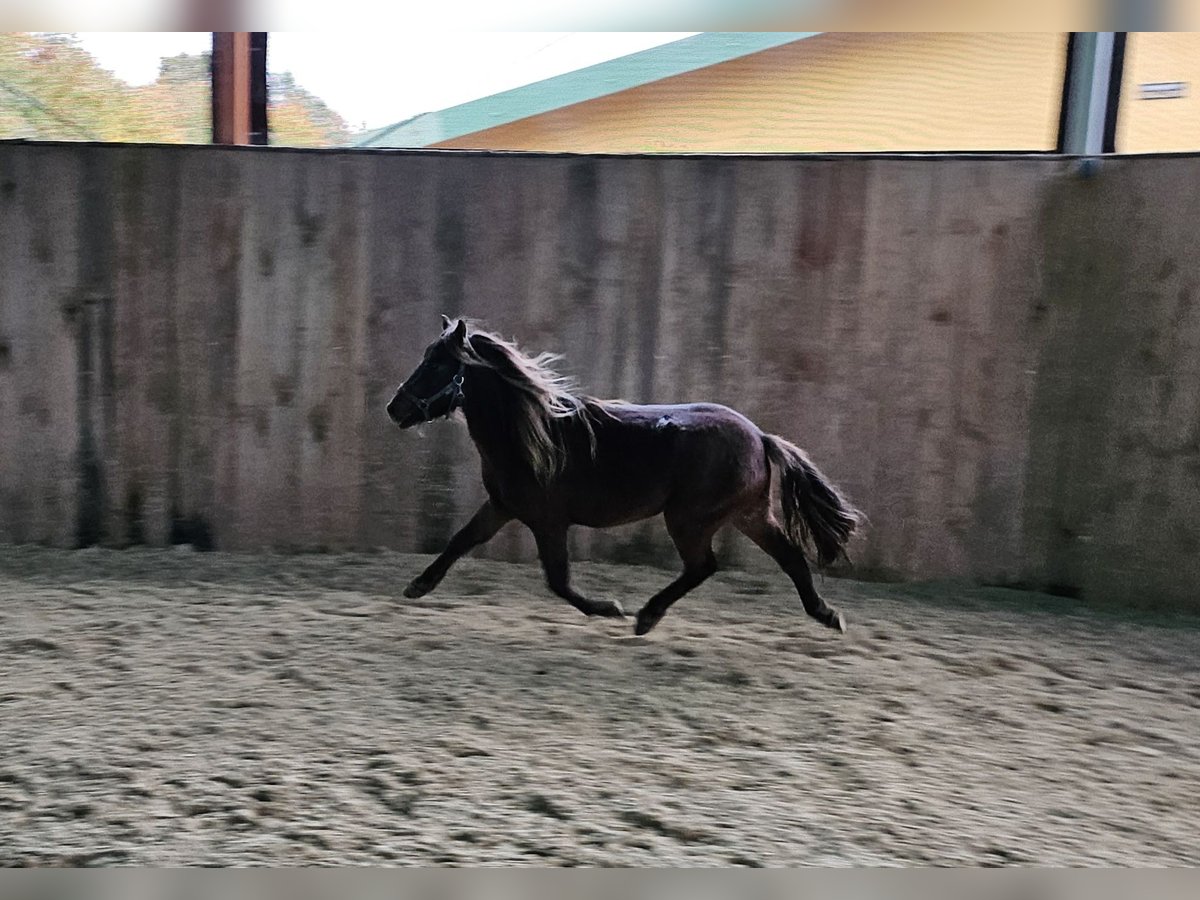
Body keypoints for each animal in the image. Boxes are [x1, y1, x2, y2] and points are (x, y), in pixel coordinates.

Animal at [386, 321, 864, 638]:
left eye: (437, 365)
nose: (395, 408)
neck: (534, 433)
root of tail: (761, 438)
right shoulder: (502, 507)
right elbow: (461, 541)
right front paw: (417, 586)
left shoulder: (548, 521)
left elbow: (557, 580)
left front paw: (608, 608)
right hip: (748, 516)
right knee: (789, 558)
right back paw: (827, 615)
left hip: (690, 519)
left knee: (704, 566)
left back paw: (646, 616)